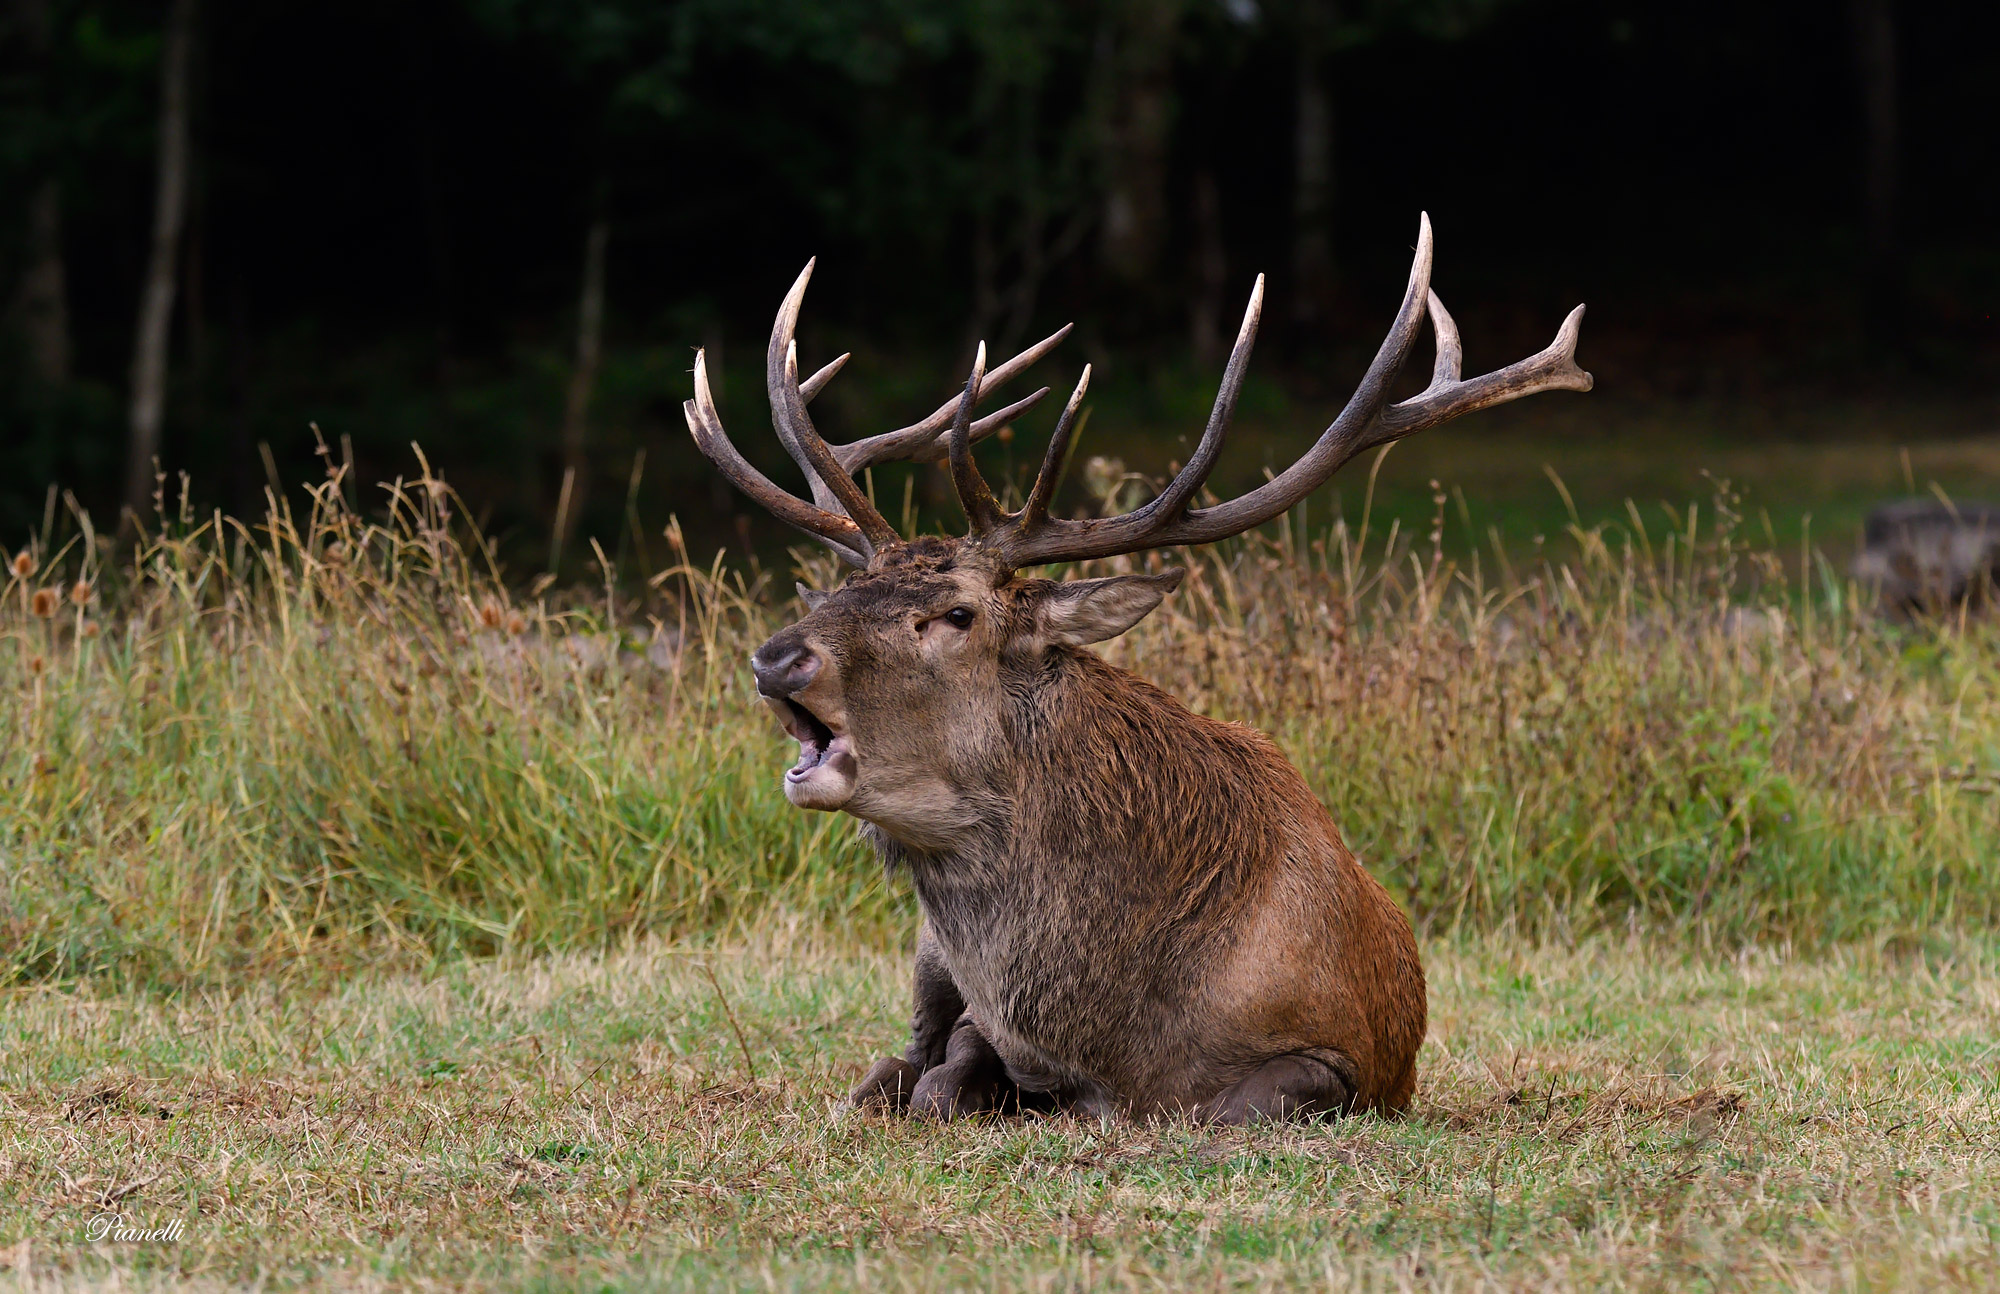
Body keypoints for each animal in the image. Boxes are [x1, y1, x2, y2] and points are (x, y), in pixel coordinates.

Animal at [684, 215, 1591, 1122]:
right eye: (842, 589)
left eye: (957, 615)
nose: (777, 657)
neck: (1118, 1032)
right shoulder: (987, 1019)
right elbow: (942, 1074)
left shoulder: (1352, 1060)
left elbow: (1232, 1103)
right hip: (925, 955)